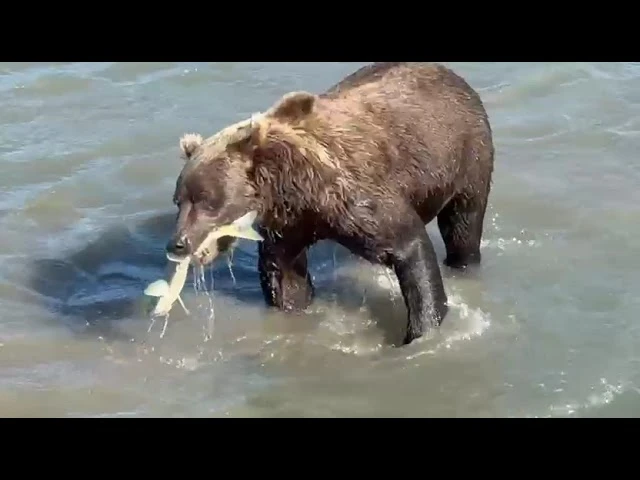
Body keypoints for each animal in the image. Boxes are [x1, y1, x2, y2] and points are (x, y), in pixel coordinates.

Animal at [166, 62, 495, 346]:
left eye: (208, 200)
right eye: (179, 201)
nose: (177, 244)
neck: (296, 188)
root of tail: (451, 74)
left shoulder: (357, 198)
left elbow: (409, 247)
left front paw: (421, 333)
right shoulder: (289, 224)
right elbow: (285, 275)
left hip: (468, 160)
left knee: (462, 227)